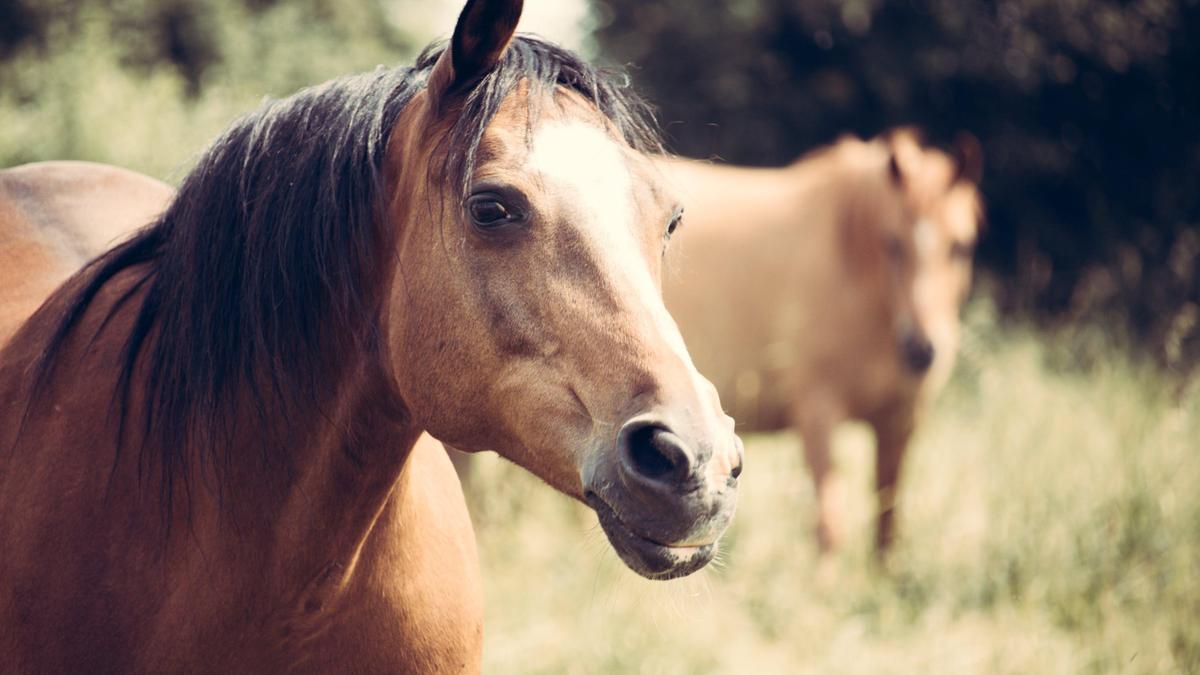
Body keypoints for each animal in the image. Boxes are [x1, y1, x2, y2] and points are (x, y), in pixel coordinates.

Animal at [657, 128, 984, 554]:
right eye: (892, 243)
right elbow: (830, 527)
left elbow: (887, 523)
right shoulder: (817, 414)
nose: (921, 350)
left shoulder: (900, 420)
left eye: (961, 247)